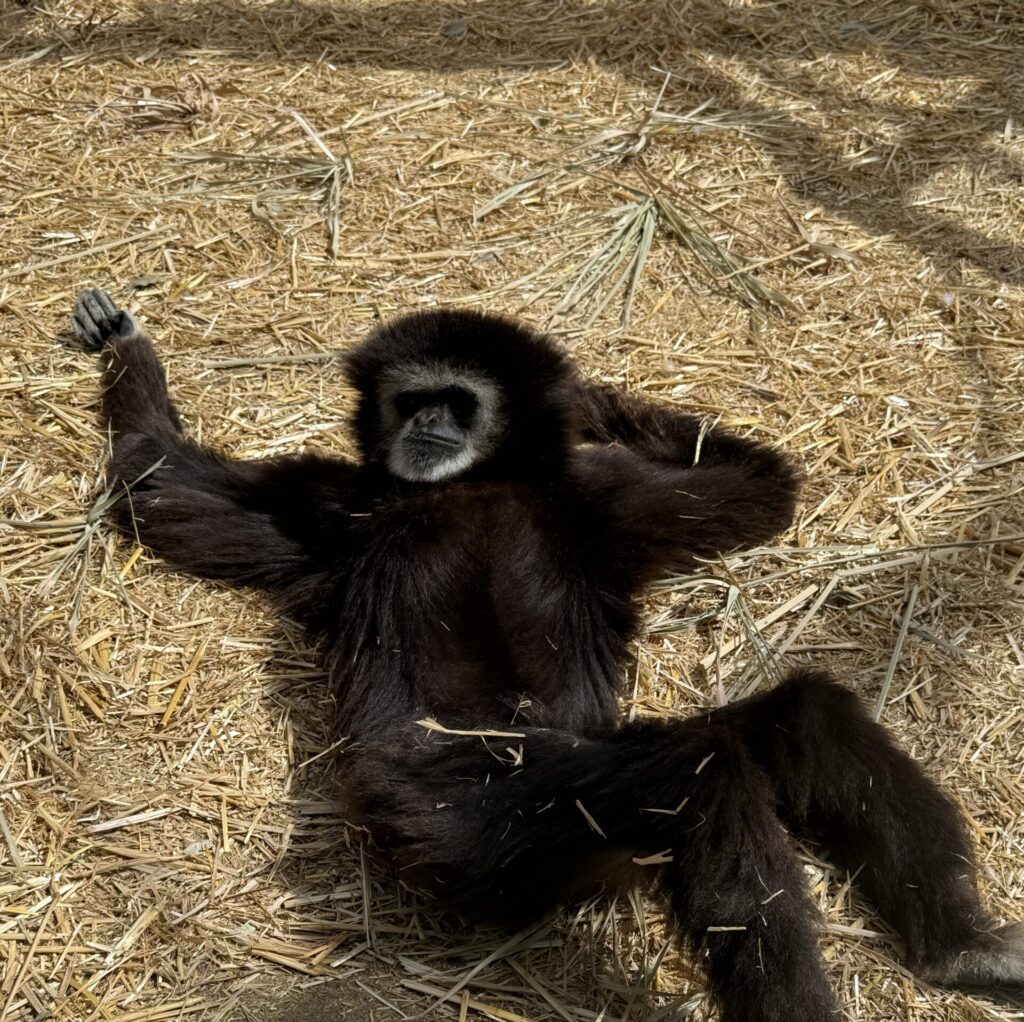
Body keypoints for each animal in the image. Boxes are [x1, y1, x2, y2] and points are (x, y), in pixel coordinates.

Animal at [72, 288, 1024, 1022]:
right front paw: (128, 349)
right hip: (471, 828)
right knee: (699, 773)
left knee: (797, 717)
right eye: (411, 398)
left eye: (456, 401)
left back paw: (960, 951)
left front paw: (595, 401)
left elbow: (760, 492)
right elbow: (158, 485)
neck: (478, 484)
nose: (424, 421)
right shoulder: (334, 504)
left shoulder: (595, 500)